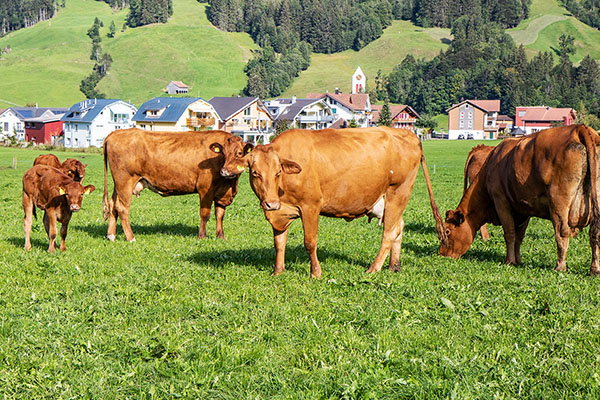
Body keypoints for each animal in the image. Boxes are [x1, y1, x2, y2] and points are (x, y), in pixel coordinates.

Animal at [103, 128, 253, 242]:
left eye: (239, 153)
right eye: (223, 153)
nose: (225, 171)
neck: (230, 184)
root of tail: (116, 132)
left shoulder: (221, 192)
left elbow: (220, 214)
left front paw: (221, 237)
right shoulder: (205, 189)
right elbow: (205, 214)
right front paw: (202, 236)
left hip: (118, 185)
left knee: (112, 205)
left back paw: (111, 236)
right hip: (125, 182)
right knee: (122, 208)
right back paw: (131, 238)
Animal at [246, 127, 448, 278]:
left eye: (278, 172)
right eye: (255, 173)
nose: (271, 203)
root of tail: (409, 134)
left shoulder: (310, 206)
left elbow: (310, 242)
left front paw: (315, 273)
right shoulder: (280, 213)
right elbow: (279, 243)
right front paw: (278, 271)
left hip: (398, 192)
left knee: (389, 233)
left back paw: (373, 268)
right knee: (398, 227)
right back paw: (394, 266)